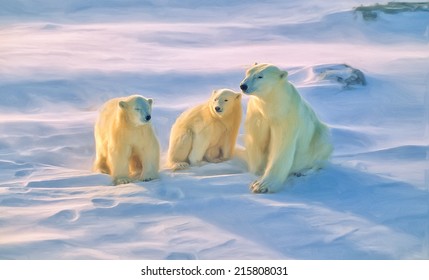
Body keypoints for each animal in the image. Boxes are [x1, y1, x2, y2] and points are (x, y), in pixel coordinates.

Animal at [239, 63, 332, 192]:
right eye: (247, 72)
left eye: (260, 76)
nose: (243, 86)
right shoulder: (257, 114)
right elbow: (257, 141)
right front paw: (257, 170)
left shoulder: (286, 116)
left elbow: (281, 147)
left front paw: (261, 185)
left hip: (319, 138)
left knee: (320, 154)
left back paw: (304, 171)